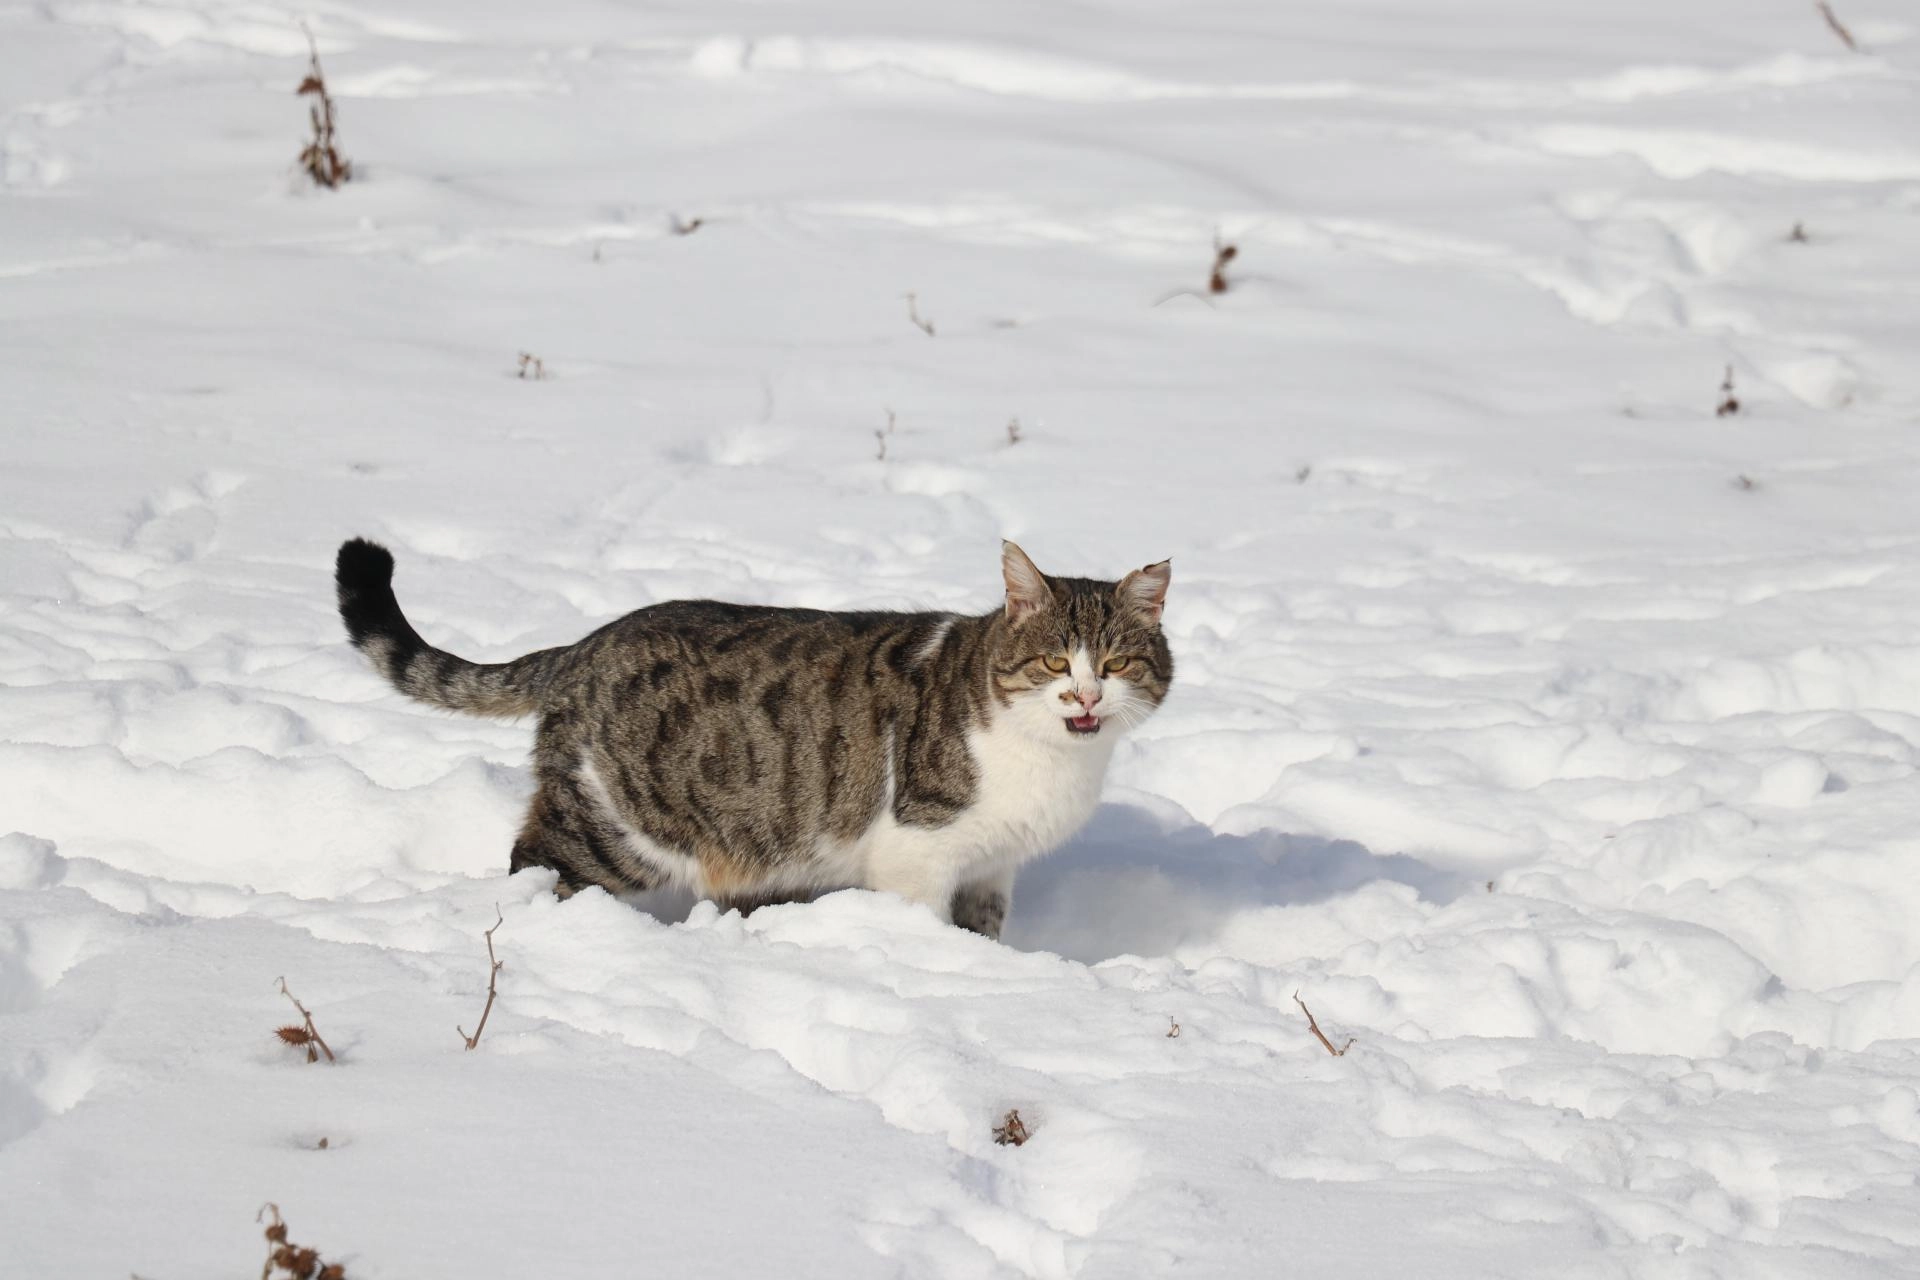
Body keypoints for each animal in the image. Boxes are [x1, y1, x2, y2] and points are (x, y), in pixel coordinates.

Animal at [334, 538, 1172, 939]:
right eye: (1054, 661)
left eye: (1118, 663)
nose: (1087, 695)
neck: (1057, 761)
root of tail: (580, 647)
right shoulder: (920, 852)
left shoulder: (992, 868)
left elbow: (986, 930)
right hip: (619, 825)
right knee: (533, 858)